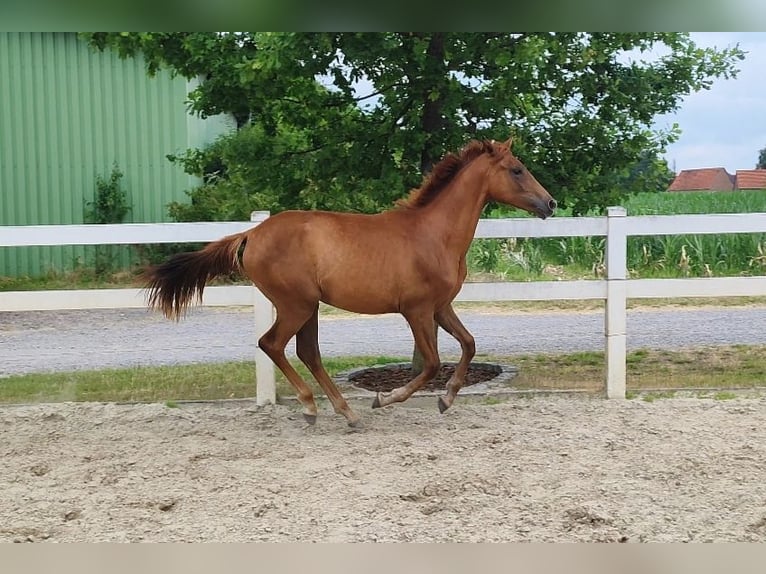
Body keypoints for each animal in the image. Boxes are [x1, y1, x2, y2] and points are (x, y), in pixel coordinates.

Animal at [143, 138, 556, 427]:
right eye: (517, 169)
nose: (550, 204)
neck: (434, 234)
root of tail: (251, 234)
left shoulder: (441, 306)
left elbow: (469, 345)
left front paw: (446, 399)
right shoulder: (417, 310)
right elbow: (431, 364)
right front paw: (385, 399)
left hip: (308, 307)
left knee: (307, 352)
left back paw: (344, 412)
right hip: (296, 305)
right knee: (272, 344)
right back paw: (315, 407)